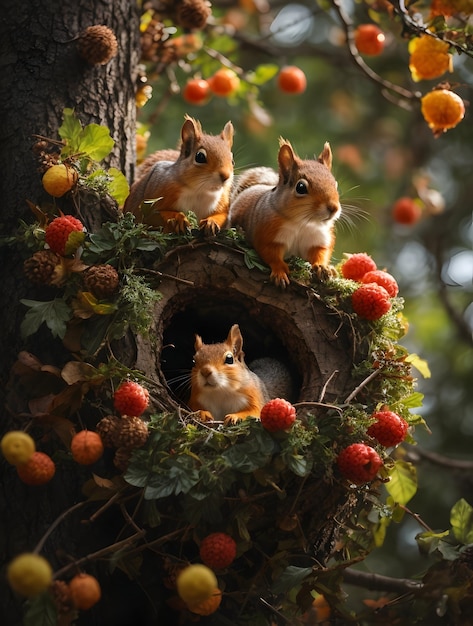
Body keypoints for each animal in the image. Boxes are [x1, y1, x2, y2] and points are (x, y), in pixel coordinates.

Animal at [229, 138, 340, 286]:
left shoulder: (318, 239)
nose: (334, 208)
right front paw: (280, 272)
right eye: (301, 187)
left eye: (335, 184)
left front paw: (322, 267)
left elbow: (321, 252)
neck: (303, 223)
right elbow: (271, 254)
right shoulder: (267, 234)